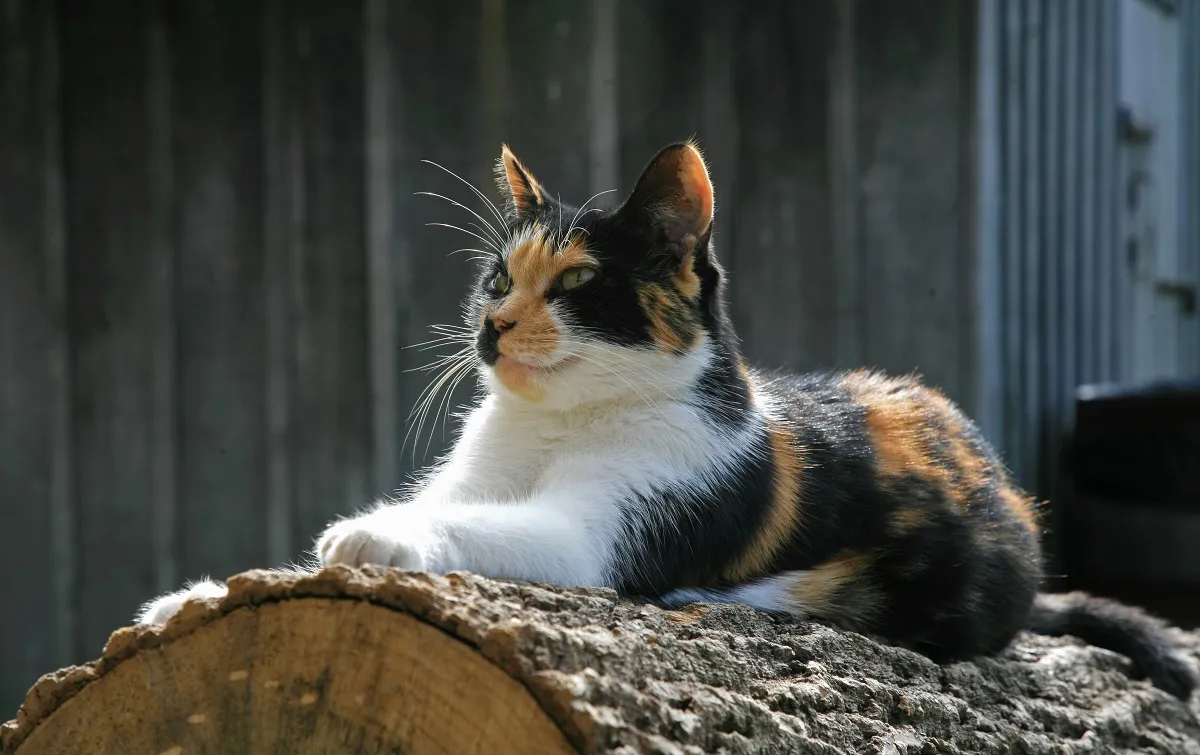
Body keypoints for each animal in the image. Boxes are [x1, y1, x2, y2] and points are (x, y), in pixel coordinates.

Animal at [138, 139, 1190, 696]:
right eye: (496, 277)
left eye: (574, 284)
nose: (490, 323)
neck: (555, 425)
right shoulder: (475, 470)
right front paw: (194, 598)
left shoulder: (607, 523)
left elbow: (488, 526)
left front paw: (372, 536)